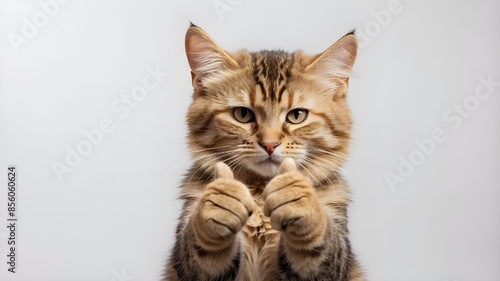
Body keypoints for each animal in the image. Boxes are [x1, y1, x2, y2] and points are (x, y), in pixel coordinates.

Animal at [164, 24, 364, 280]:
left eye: (297, 115)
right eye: (242, 114)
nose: (269, 144)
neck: (260, 194)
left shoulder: (335, 260)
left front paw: (297, 197)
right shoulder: (187, 264)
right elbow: (201, 248)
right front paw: (222, 201)